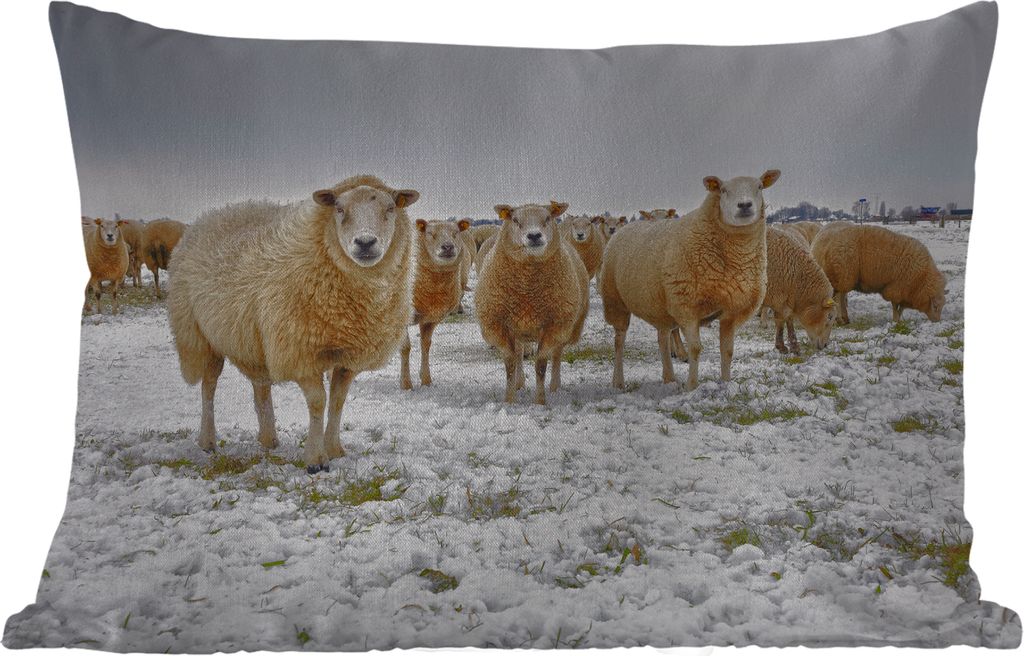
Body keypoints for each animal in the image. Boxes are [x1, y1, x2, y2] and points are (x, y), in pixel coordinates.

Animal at [168, 174, 420, 472]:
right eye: (339, 209)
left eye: (390, 208)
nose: (366, 243)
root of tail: (209, 216)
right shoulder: (300, 351)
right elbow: (318, 402)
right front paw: (315, 459)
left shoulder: (348, 357)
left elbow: (338, 401)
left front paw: (335, 449)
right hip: (201, 335)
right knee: (209, 386)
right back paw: (207, 441)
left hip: (255, 340)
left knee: (261, 387)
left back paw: (268, 440)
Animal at [400, 219, 471, 389]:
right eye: (430, 233)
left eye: (456, 232)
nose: (447, 247)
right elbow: (406, 348)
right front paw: (406, 384)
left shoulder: (429, 319)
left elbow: (426, 346)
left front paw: (426, 380)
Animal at [475, 201, 589, 404]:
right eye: (515, 220)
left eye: (548, 218)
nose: (534, 235)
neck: (527, 290)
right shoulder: (500, 325)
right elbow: (511, 363)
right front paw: (510, 399)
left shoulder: (553, 325)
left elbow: (541, 365)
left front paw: (540, 401)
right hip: (519, 327)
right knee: (520, 353)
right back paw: (519, 383)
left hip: (567, 326)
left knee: (557, 354)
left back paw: (555, 387)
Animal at [601, 169, 781, 390]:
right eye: (723, 190)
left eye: (759, 187)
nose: (745, 205)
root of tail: (623, 228)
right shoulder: (686, 306)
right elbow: (695, 348)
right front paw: (692, 386)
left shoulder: (732, 310)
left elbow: (727, 350)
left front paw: (726, 383)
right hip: (615, 300)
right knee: (619, 340)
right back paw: (618, 381)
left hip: (660, 305)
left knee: (662, 338)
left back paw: (669, 378)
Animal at [810, 222, 946, 324]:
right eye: (935, 306)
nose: (937, 321)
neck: (922, 278)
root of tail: (819, 242)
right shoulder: (897, 287)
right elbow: (895, 305)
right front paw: (896, 320)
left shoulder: (905, 292)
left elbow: (901, 307)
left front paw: (899, 319)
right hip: (842, 274)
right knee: (838, 297)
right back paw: (839, 319)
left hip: (842, 277)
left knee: (841, 296)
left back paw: (845, 318)